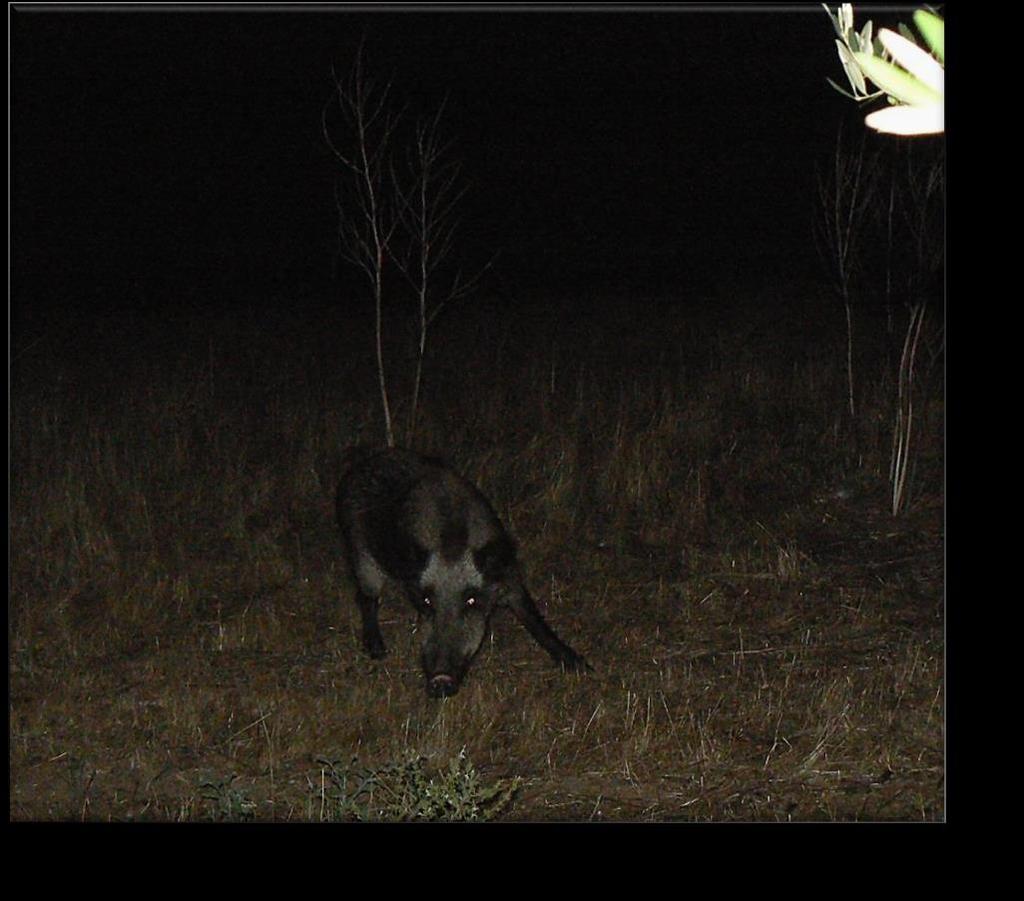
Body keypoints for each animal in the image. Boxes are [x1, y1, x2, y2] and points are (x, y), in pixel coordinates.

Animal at [337, 448, 593, 696]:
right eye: (427, 601)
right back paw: (378, 651)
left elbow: (534, 618)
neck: (453, 546)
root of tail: (356, 469)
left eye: (471, 600)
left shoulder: (510, 579)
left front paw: (582, 667)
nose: (440, 680)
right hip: (361, 554)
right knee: (366, 597)